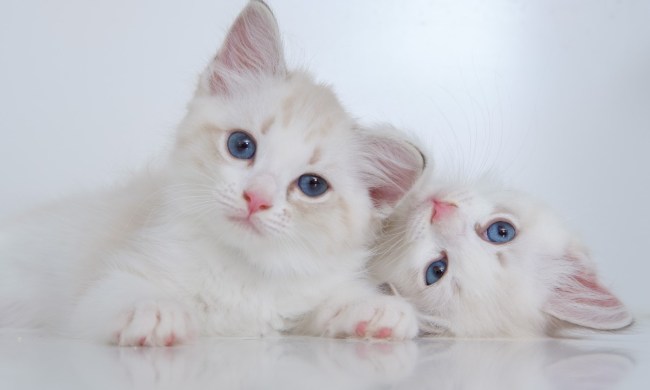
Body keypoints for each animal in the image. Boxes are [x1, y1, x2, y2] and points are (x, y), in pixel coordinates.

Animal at [0, 0, 422, 348]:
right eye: (241, 145)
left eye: (312, 185)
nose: (257, 198)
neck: (238, 270)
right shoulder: (99, 290)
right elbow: (118, 296)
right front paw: (154, 311)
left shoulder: (291, 308)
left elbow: (322, 309)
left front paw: (372, 309)